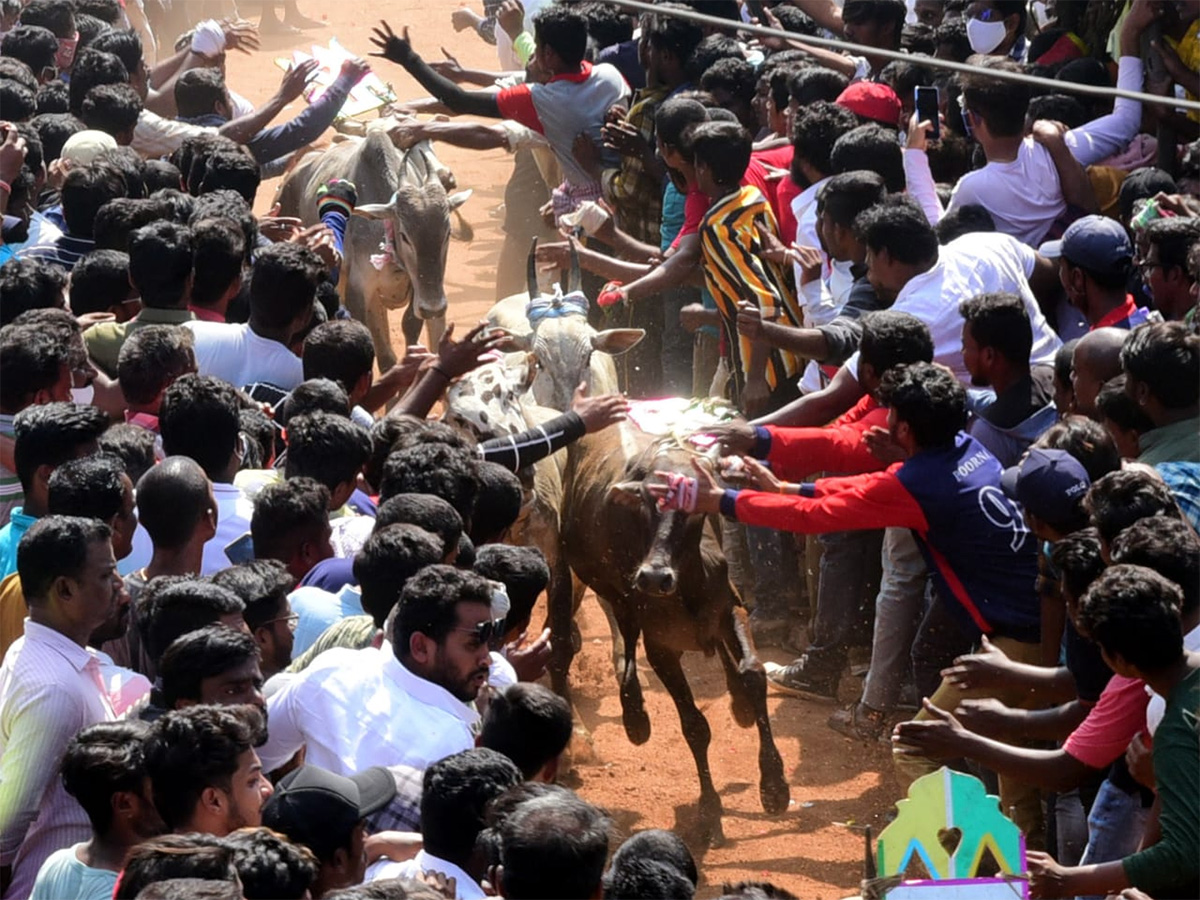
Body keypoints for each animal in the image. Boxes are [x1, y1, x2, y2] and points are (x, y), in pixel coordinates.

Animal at [278, 121, 470, 372]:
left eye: (446, 233)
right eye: (404, 235)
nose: (434, 308)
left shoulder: (420, 289)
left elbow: (410, 324)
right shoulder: (360, 287)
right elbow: (377, 344)